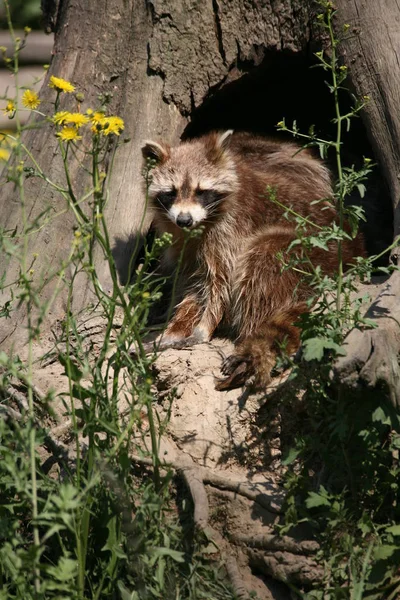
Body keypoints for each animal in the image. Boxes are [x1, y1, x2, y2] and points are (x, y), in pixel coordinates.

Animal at [141, 131, 366, 390]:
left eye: (201, 191)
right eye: (171, 192)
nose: (184, 219)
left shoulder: (232, 229)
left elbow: (220, 281)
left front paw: (205, 326)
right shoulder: (183, 243)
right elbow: (193, 285)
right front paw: (176, 327)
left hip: (314, 251)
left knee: (262, 264)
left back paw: (249, 338)